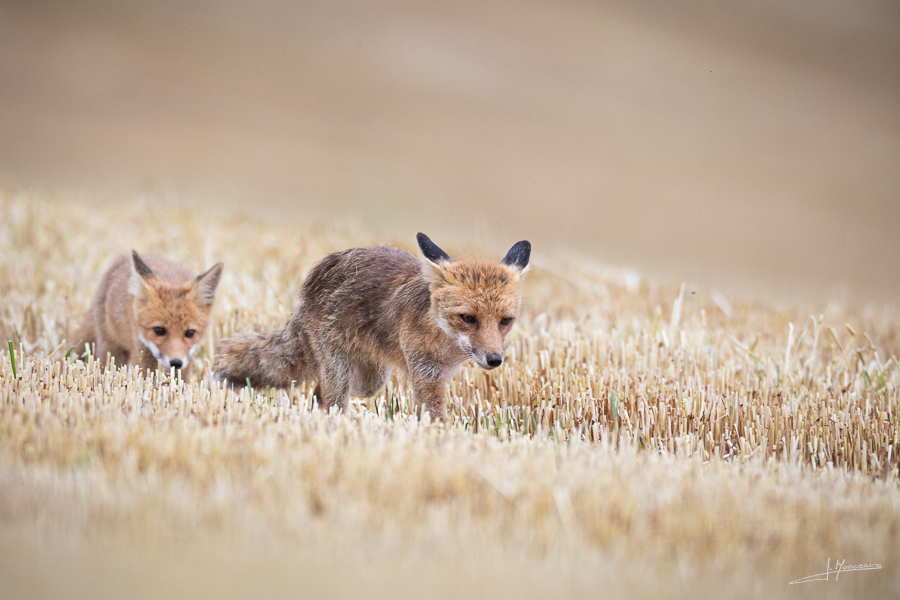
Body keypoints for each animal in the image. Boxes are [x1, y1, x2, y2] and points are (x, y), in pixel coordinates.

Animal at [75, 251, 227, 378]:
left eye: (190, 333)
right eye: (159, 330)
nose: (176, 363)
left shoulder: (187, 358)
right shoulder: (143, 351)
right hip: (111, 348)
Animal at [214, 232, 532, 420]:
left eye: (505, 321)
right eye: (468, 318)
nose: (495, 359)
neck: (446, 346)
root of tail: (318, 272)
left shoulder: (437, 375)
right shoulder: (426, 374)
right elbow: (434, 417)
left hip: (370, 379)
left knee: (319, 391)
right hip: (340, 369)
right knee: (331, 399)